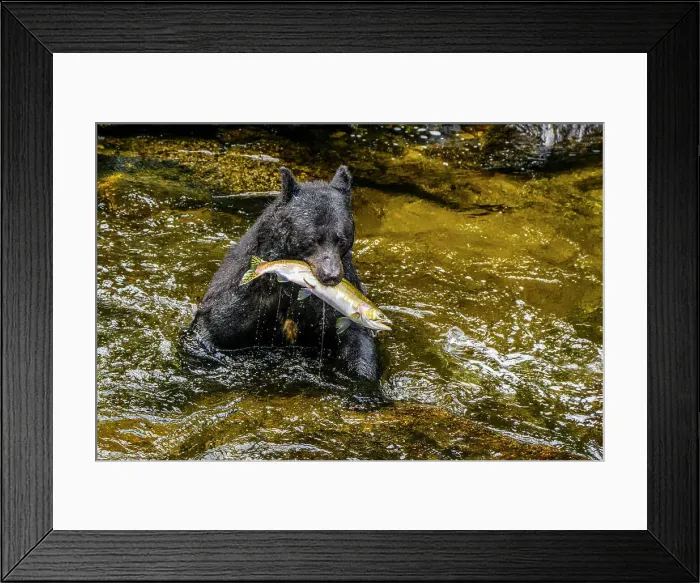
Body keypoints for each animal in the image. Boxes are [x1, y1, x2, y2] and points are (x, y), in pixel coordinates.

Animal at [189, 165, 380, 381]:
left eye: (341, 239)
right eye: (312, 239)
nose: (331, 275)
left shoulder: (339, 299)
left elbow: (356, 337)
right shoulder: (244, 295)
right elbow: (217, 325)